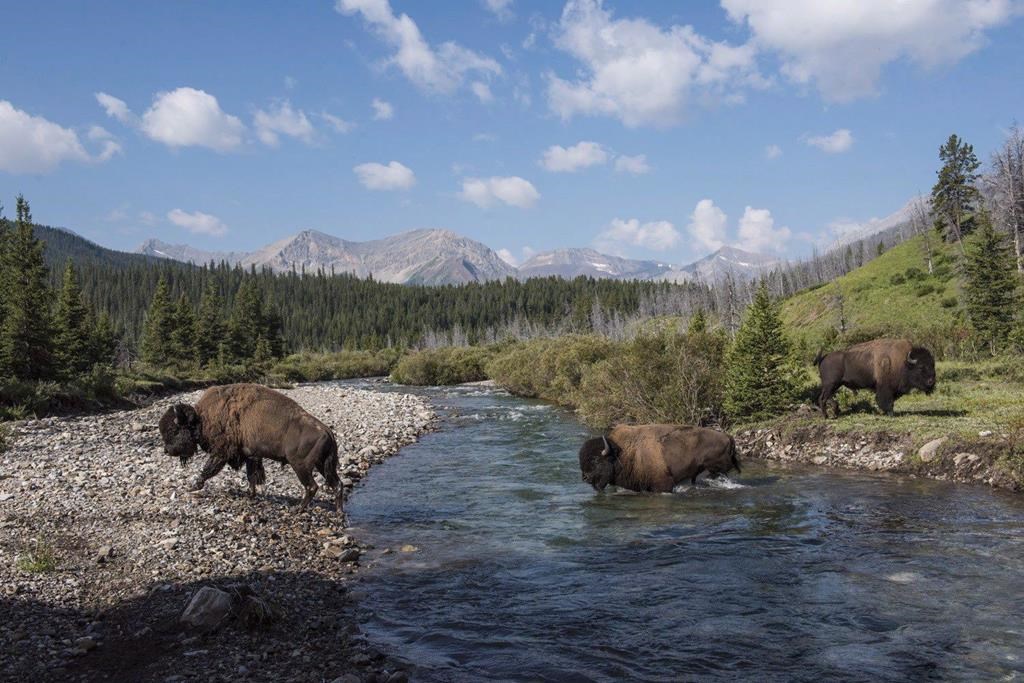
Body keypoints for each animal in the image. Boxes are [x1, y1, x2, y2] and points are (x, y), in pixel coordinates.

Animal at [157, 385, 344, 511]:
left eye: (174, 430)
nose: (166, 450)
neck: (201, 418)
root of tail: (326, 430)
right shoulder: (251, 456)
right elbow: (251, 476)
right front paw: (251, 495)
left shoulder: (222, 452)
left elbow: (209, 469)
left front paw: (194, 486)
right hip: (323, 465)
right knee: (337, 484)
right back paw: (339, 512)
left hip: (301, 466)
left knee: (312, 486)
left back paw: (298, 509)